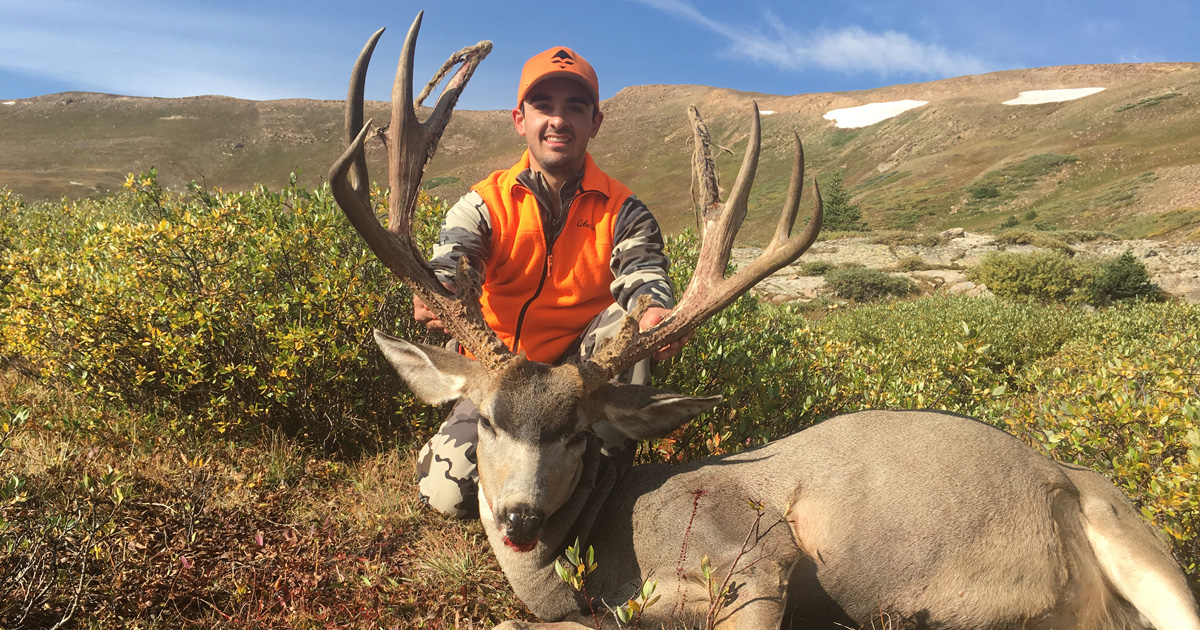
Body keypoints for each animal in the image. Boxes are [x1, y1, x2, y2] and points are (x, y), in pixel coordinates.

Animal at [326, 13, 1200, 630]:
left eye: (576, 431)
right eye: (486, 422)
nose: (518, 517)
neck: (603, 548)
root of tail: (1075, 473)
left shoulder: (755, 557)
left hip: (1138, 543)